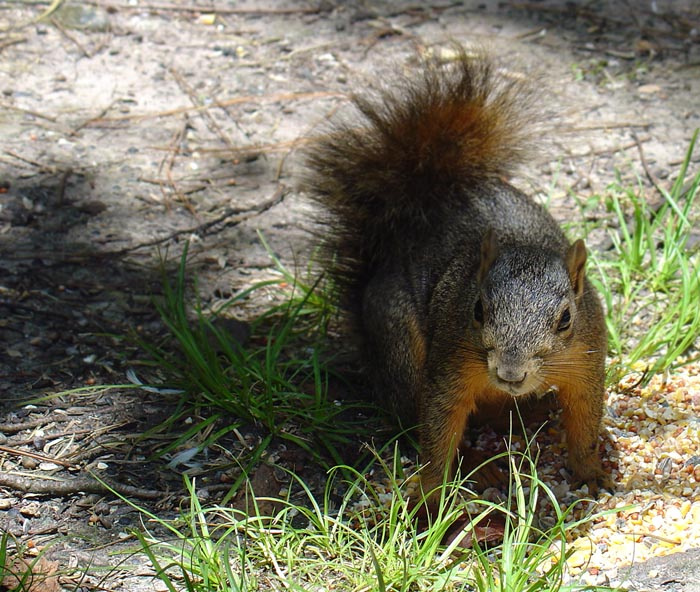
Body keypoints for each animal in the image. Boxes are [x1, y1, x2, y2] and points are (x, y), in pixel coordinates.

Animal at [304, 49, 610, 502]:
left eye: (566, 319)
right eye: (478, 310)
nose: (511, 373)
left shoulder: (586, 358)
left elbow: (586, 420)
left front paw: (591, 472)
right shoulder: (450, 364)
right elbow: (439, 424)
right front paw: (430, 492)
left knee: (497, 417)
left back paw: (532, 412)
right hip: (402, 350)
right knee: (418, 416)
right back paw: (480, 464)